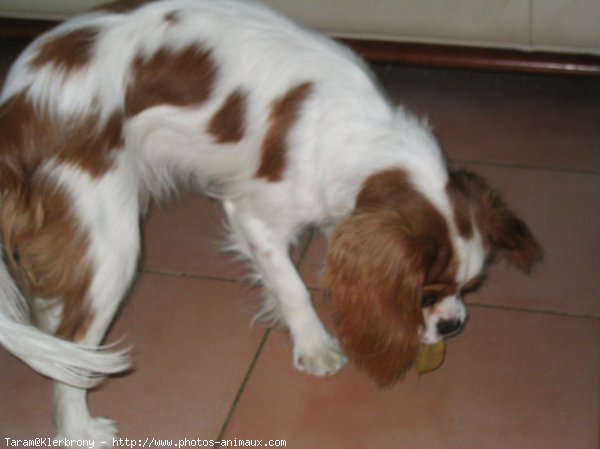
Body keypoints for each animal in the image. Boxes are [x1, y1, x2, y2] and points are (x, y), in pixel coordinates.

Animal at [0, 0, 540, 440]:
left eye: (470, 288)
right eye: (426, 294)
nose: (454, 325)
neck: (366, 134)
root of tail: (18, 105)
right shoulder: (253, 216)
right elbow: (292, 285)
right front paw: (316, 346)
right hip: (112, 240)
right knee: (74, 340)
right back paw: (80, 428)